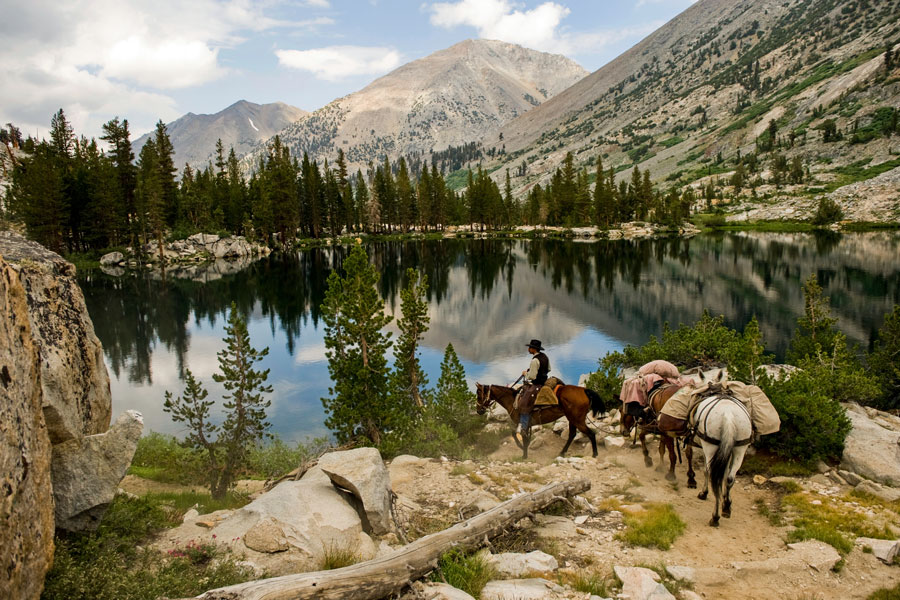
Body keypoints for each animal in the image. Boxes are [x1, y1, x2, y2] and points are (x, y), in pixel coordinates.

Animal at [692, 384, 756, 524]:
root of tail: (728, 415)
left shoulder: (707, 448)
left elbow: (706, 471)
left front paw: (704, 493)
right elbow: (725, 473)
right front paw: (726, 502)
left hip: (710, 446)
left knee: (712, 474)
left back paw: (715, 517)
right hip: (740, 448)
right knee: (730, 478)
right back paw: (726, 508)